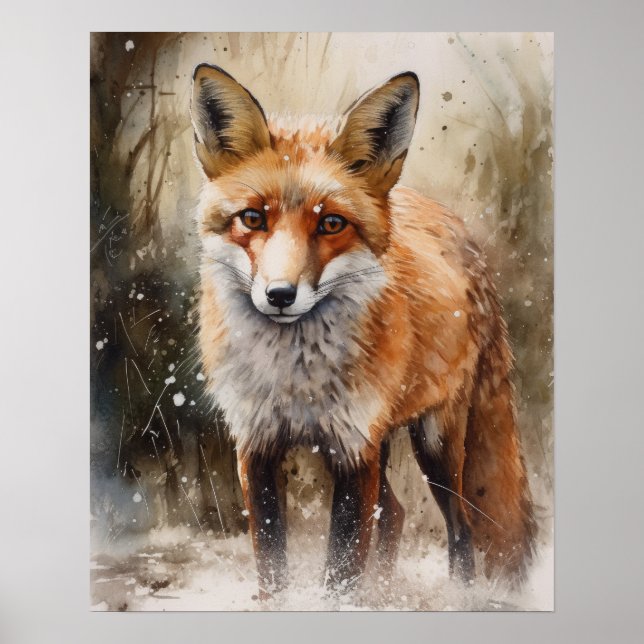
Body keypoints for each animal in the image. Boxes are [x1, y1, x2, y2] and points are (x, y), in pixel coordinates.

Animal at [190, 63, 536, 598]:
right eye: (252, 218)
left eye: (331, 224)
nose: (280, 295)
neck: (296, 380)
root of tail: (456, 227)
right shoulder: (257, 444)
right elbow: (272, 565)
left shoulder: (354, 449)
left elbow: (342, 567)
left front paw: (344, 601)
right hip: (386, 440)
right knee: (394, 513)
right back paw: (385, 591)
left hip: (435, 443)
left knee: (460, 527)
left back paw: (458, 594)